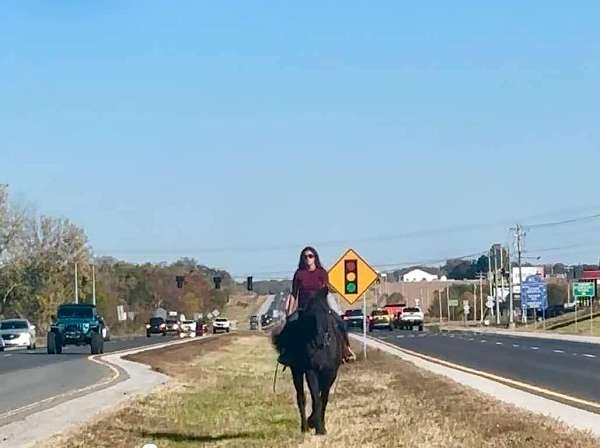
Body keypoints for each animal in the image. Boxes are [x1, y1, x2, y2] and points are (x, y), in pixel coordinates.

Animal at [274, 288, 344, 436]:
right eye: (309, 316)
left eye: (327, 312)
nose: (320, 340)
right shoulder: (311, 371)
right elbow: (315, 399)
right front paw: (318, 427)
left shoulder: (331, 373)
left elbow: (323, 398)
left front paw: (319, 424)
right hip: (296, 371)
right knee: (301, 398)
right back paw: (304, 427)